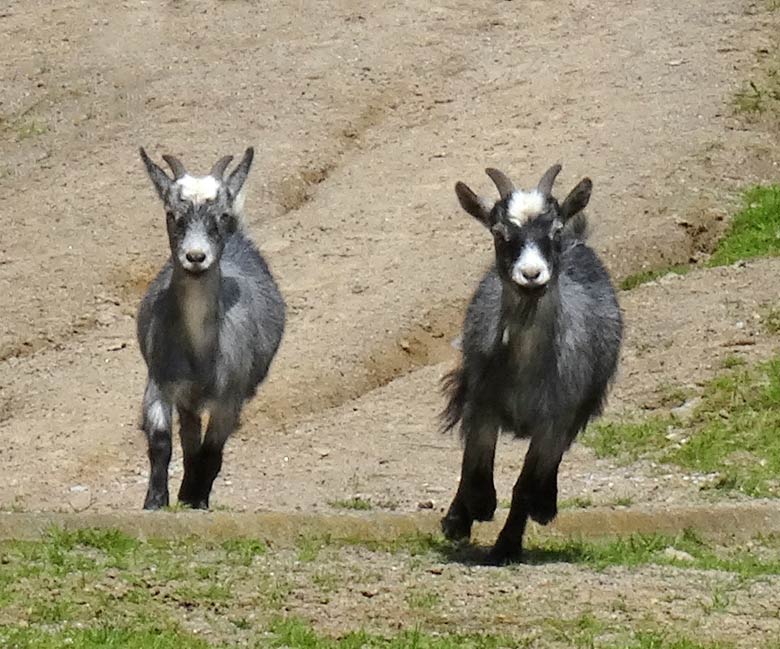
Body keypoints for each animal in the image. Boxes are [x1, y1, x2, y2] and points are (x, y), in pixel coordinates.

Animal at [138, 147, 286, 512]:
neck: (199, 353)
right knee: (188, 438)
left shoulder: (229, 397)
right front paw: (156, 501)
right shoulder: (160, 381)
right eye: (172, 214)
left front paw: (198, 500)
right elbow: (161, 443)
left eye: (221, 215)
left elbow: (213, 450)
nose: (195, 257)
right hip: (188, 398)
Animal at [444, 165, 620, 564]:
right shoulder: (483, 403)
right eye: (499, 233)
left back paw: (544, 505)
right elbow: (474, 464)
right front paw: (469, 512)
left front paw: (506, 546)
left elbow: (525, 484)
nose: (531, 274)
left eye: (553, 231)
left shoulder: (555, 419)